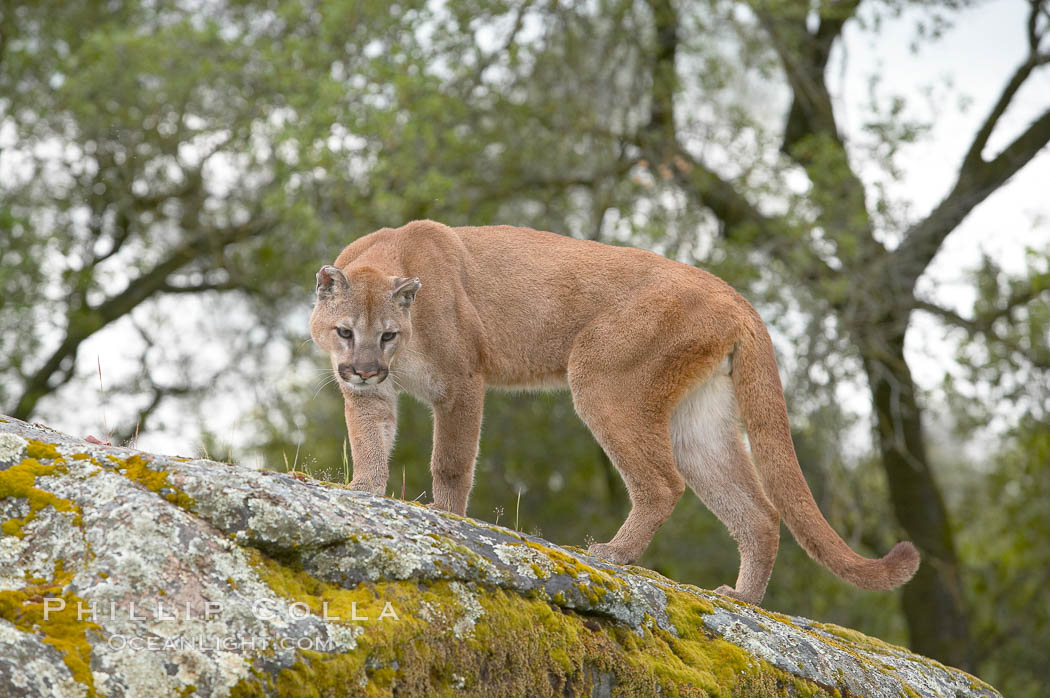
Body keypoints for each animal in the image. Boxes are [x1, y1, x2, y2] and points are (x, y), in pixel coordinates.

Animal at [310, 220, 919, 600]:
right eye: (346, 332)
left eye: (388, 334)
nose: (363, 369)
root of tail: (734, 294)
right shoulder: (372, 397)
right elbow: (369, 442)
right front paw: (363, 491)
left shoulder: (462, 383)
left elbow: (452, 463)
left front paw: (448, 518)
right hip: (698, 422)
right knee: (759, 512)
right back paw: (742, 596)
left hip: (601, 379)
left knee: (663, 484)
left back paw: (612, 553)